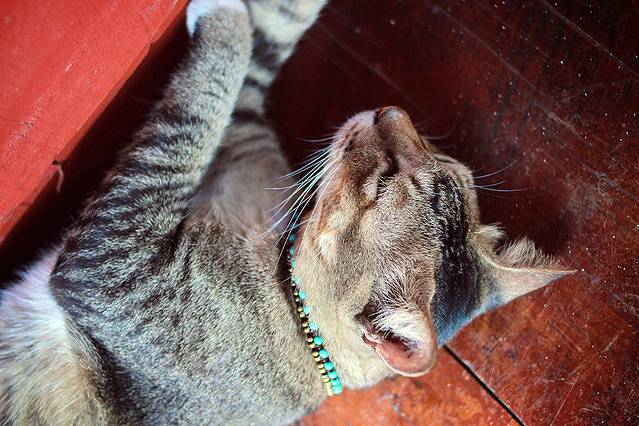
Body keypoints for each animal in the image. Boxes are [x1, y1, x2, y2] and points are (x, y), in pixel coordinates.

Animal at [0, 0, 572, 424]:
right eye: (438, 154)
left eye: (383, 178)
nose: (391, 109)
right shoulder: (245, 129)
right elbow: (270, 39)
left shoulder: (112, 259)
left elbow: (200, 107)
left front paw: (220, 18)